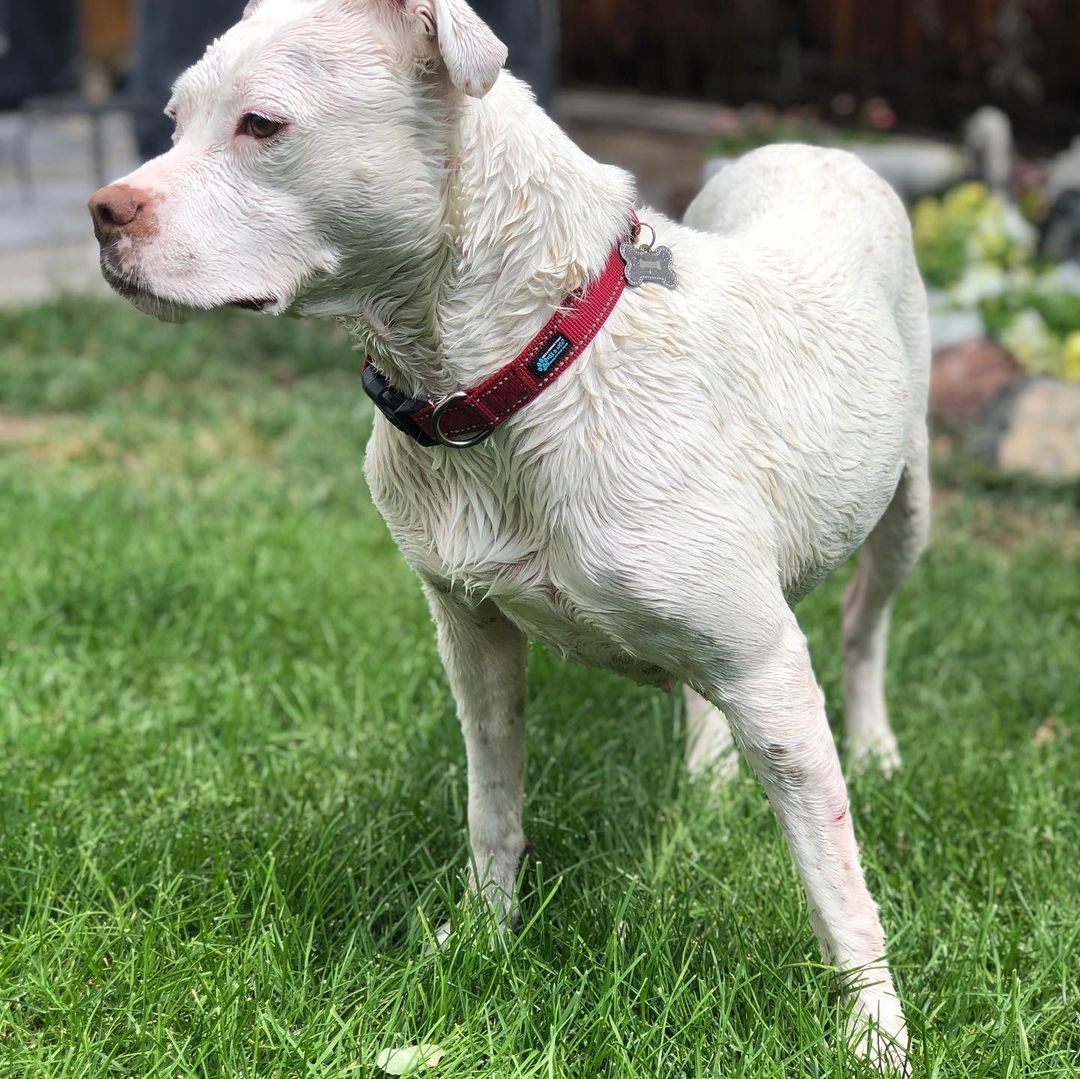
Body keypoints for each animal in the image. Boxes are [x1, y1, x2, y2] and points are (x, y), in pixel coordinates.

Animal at [88, 0, 928, 1067]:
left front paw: (875, 1030)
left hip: (907, 505)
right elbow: (492, 802)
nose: (103, 209)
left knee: (867, 623)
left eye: (262, 125)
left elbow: (835, 877)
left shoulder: (767, 665)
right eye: (174, 118)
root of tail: (814, 142)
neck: (524, 366)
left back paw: (879, 748)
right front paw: (484, 937)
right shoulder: (473, 633)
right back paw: (705, 785)